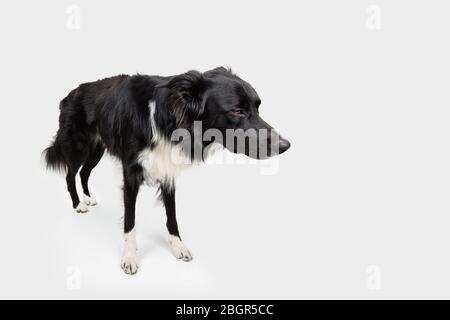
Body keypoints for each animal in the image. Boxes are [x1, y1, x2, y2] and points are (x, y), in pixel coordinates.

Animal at [43, 67, 292, 276]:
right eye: (238, 111)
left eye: (257, 107)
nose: (285, 146)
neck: (170, 121)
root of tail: (69, 94)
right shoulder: (131, 173)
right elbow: (130, 221)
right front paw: (130, 257)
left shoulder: (167, 171)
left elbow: (172, 216)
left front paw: (178, 246)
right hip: (78, 146)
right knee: (70, 175)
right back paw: (78, 204)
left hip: (97, 148)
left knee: (84, 173)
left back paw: (88, 198)